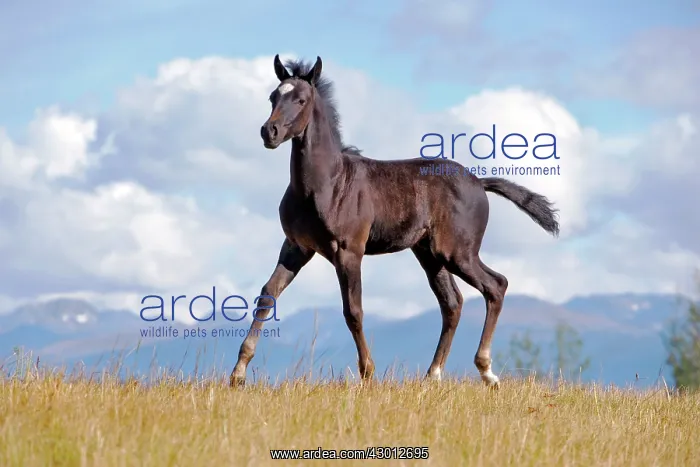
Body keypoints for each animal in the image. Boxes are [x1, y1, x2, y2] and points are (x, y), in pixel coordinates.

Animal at [229, 54, 559, 389]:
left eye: (301, 99)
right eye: (273, 96)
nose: (269, 132)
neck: (325, 184)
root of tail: (479, 182)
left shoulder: (349, 251)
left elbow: (353, 310)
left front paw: (367, 373)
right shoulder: (297, 247)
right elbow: (267, 294)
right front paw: (238, 373)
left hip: (458, 253)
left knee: (496, 285)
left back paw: (487, 372)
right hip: (430, 254)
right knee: (452, 303)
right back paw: (433, 375)